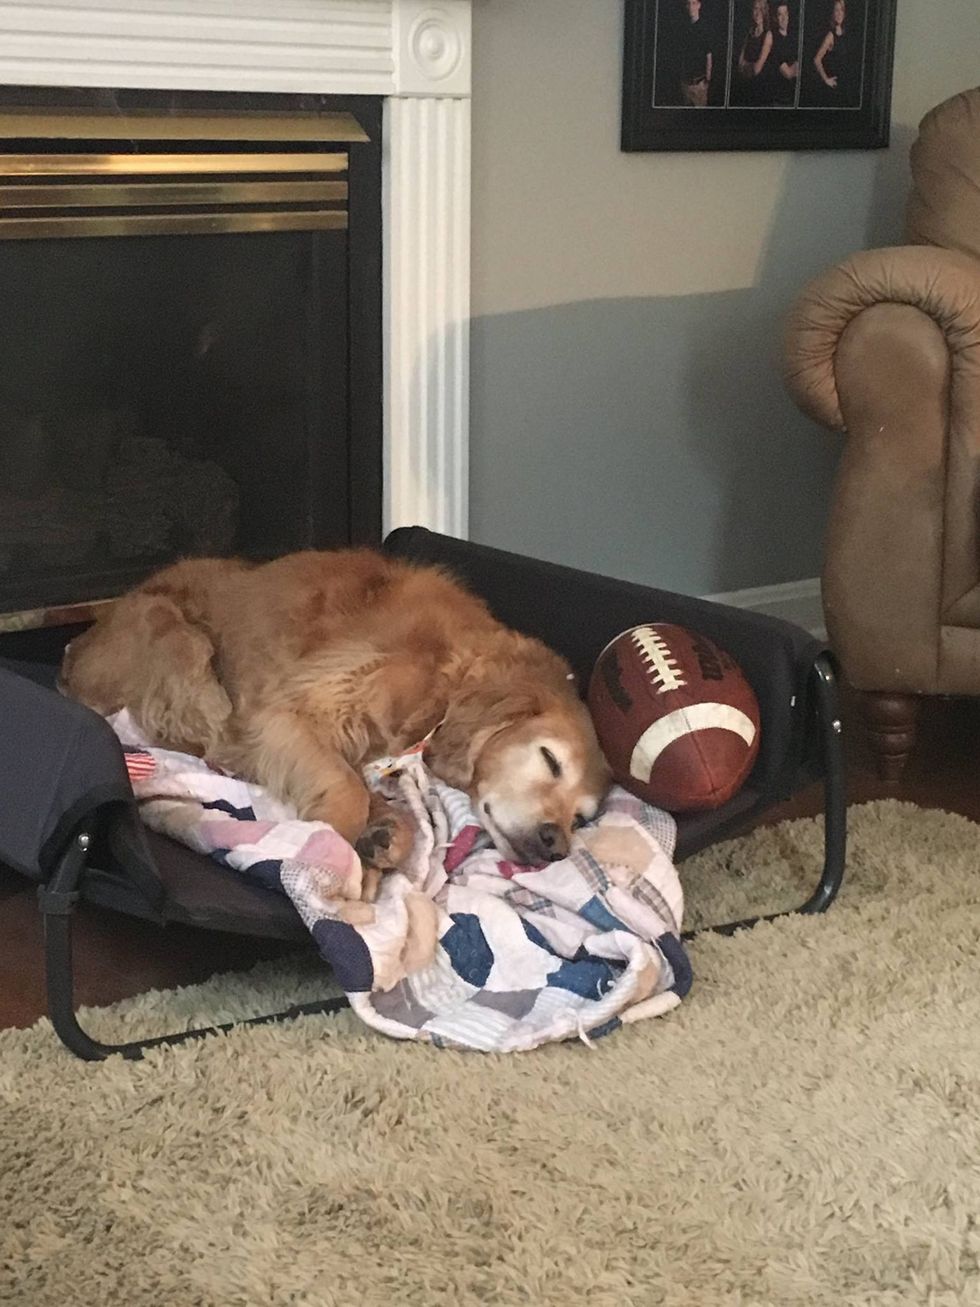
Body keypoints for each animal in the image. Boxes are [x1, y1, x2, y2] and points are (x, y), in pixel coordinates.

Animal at [60, 549, 611, 897]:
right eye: (549, 759)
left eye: (581, 818)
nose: (556, 844)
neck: (447, 678)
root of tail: (75, 648)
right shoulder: (283, 712)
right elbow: (344, 789)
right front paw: (335, 857)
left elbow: (371, 793)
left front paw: (385, 833)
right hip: (180, 643)